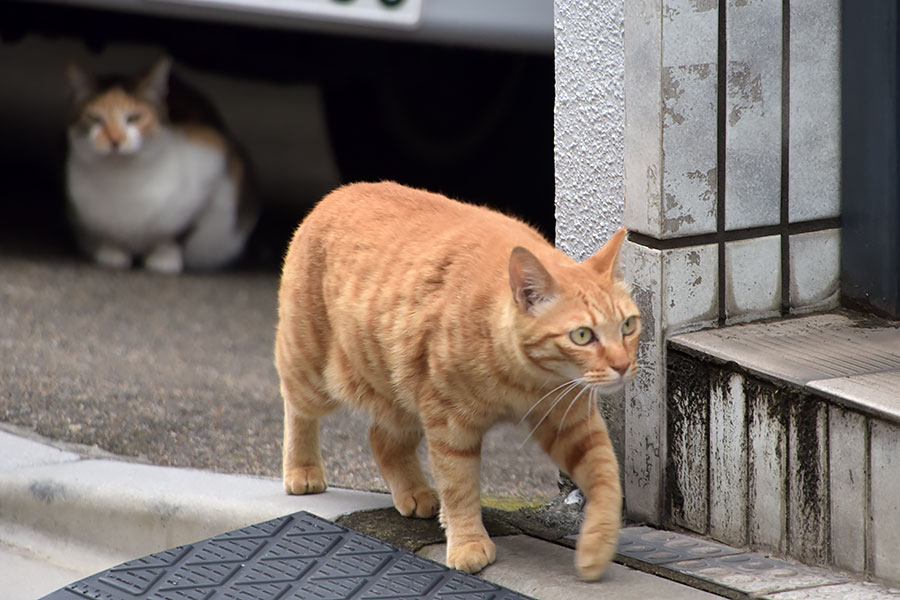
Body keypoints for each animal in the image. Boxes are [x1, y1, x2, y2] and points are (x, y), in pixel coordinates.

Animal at [64, 56, 256, 274]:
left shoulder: (213, 160)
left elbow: (180, 231)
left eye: (134, 118)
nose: (115, 140)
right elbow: (107, 232)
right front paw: (112, 251)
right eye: (94, 118)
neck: (123, 178)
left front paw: (165, 257)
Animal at [274, 180, 640, 580]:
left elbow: (607, 478)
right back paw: (302, 469)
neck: (524, 379)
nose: (623, 365)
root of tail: (339, 191)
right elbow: (459, 487)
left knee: (382, 439)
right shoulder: (451, 428)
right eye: (582, 336)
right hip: (314, 371)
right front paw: (468, 543)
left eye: (628, 326)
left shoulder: (570, 422)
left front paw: (597, 545)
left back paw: (413, 491)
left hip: (401, 392)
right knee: (297, 408)